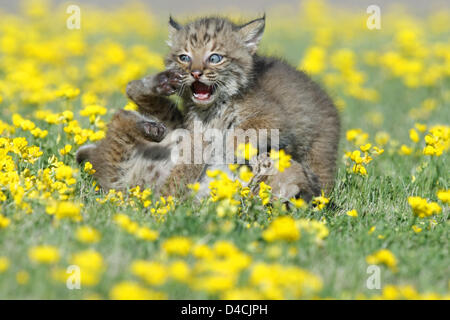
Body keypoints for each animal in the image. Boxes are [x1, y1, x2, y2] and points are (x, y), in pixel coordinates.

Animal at [77, 15, 340, 200]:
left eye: (215, 58)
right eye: (184, 57)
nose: (195, 73)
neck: (213, 108)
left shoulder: (274, 119)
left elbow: (241, 133)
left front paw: (226, 147)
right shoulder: (191, 125)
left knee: (121, 120)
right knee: (130, 96)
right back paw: (161, 83)